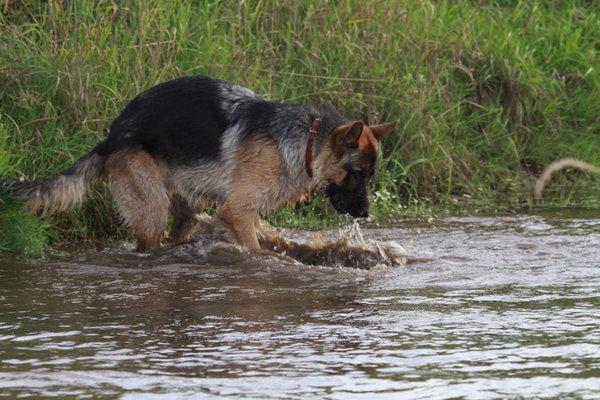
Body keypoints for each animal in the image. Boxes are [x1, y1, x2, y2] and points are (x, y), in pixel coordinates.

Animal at [9, 76, 396, 250]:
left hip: (187, 209)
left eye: (369, 176)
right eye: (355, 174)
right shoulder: (237, 211)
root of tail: (113, 134)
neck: (306, 141)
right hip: (151, 210)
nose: (365, 214)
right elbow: (256, 251)